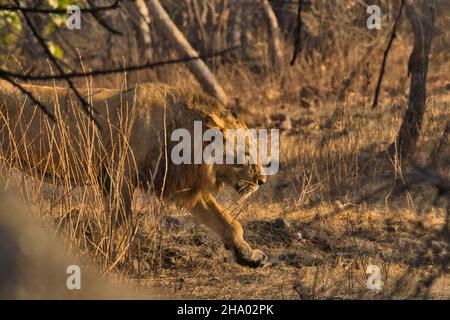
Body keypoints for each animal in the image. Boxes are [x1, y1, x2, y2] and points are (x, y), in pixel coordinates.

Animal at [0, 80, 268, 268]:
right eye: (246, 153)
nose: (262, 180)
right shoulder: (119, 177)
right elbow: (118, 221)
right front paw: (117, 261)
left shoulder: (178, 185)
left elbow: (226, 221)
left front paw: (249, 255)